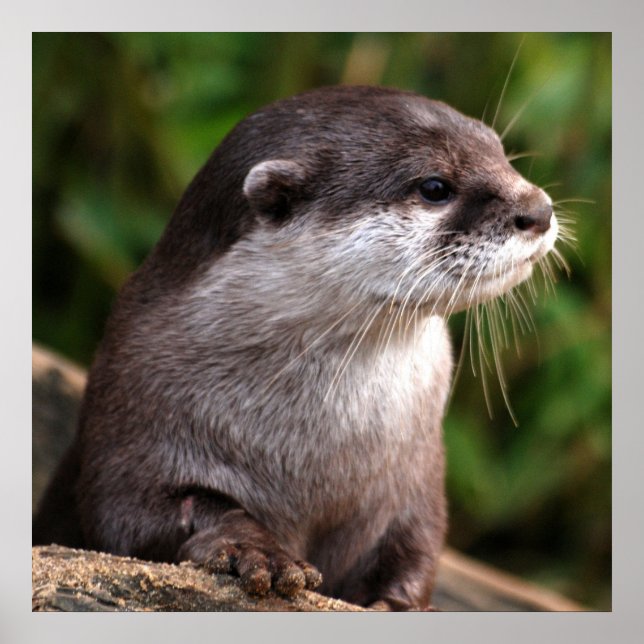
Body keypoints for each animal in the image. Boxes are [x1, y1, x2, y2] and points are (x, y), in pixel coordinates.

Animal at [33, 85, 558, 610]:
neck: (316, 455)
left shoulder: (417, 477)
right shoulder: (131, 415)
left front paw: (407, 604)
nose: (538, 210)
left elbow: (419, 544)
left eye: (499, 151)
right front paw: (256, 550)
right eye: (434, 187)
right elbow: (137, 514)